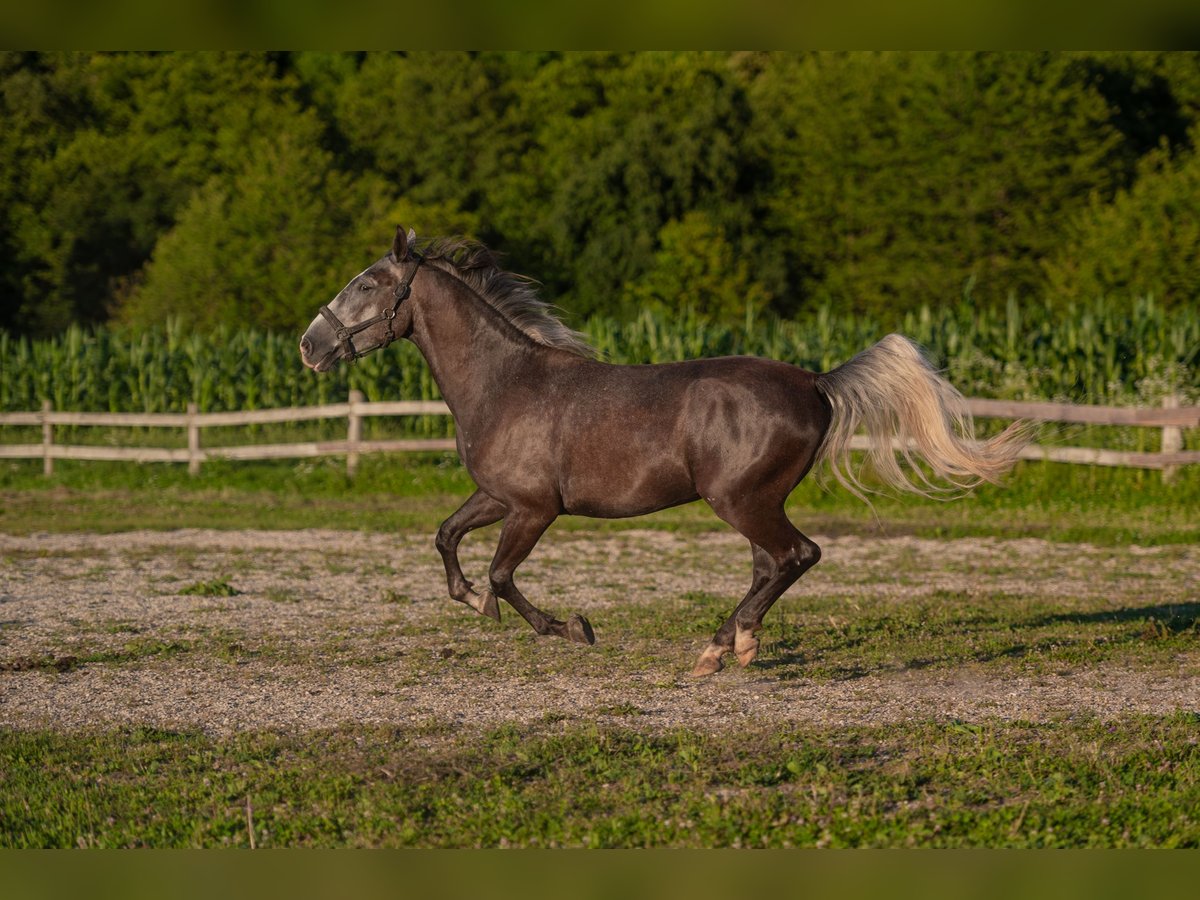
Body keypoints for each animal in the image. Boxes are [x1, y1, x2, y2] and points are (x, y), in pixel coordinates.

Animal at [300, 225, 1022, 676]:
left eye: (367, 284)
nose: (310, 345)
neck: (504, 382)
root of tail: (816, 381)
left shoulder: (534, 508)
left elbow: (503, 575)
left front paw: (570, 628)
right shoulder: (497, 495)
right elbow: (446, 537)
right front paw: (470, 598)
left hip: (740, 499)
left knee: (797, 555)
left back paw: (722, 648)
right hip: (754, 502)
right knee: (770, 564)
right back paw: (732, 645)